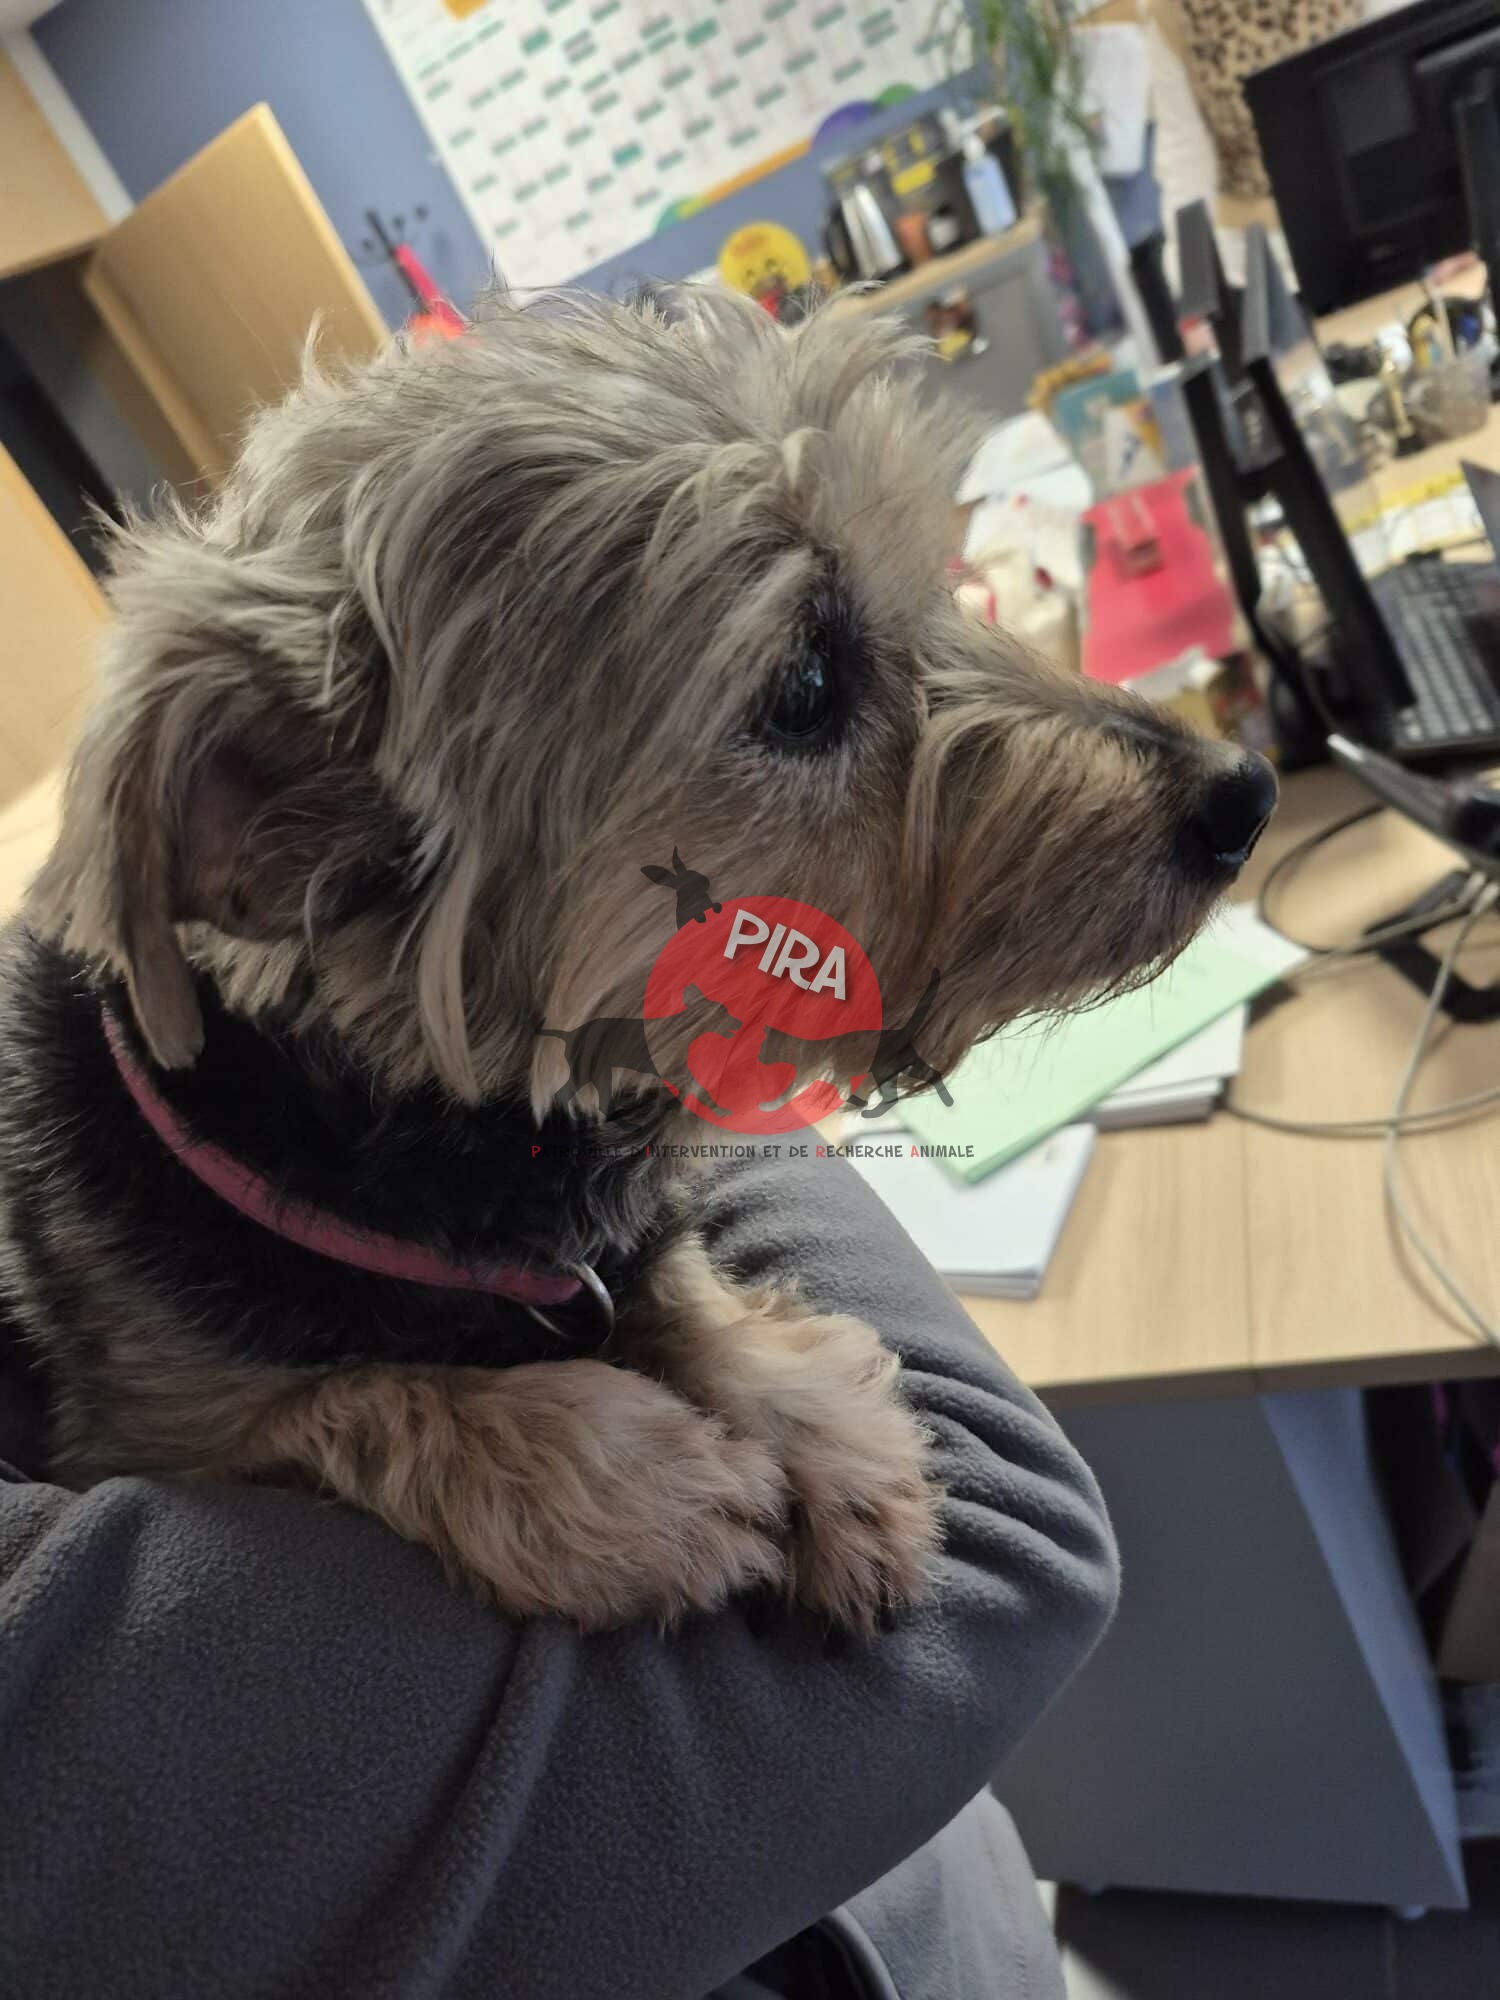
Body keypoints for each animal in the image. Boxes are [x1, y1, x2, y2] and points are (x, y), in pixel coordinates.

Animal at [0, 285, 1275, 1634]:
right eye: (805, 682)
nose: (1244, 792)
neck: (421, 1166)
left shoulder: (624, 1232)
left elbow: (682, 1287)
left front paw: (816, 1426)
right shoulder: (148, 1419)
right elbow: (345, 1395)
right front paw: (648, 1481)